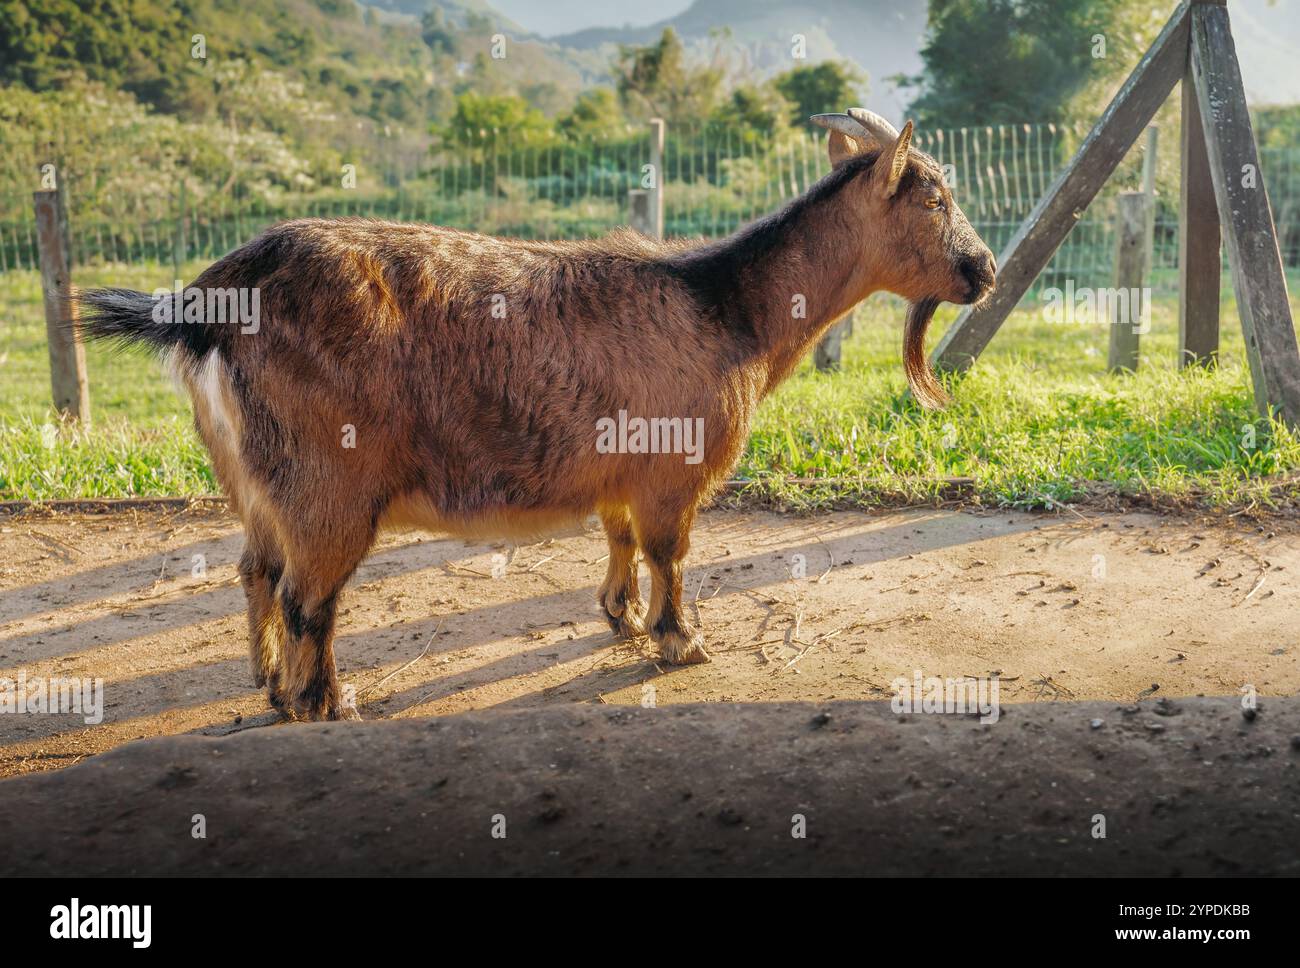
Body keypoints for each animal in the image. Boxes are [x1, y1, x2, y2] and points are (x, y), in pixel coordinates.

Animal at [78, 111, 993, 717]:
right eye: (935, 199)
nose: (983, 270)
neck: (724, 301)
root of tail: (210, 301)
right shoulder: (675, 469)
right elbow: (670, 552)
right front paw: (679, 640)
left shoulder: (622, 466)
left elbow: (619, 536)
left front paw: (619, 614)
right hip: (327, 485)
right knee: (311, 597)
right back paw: (325, 702)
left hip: (254, 483)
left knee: (257, 573)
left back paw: (271, 684)